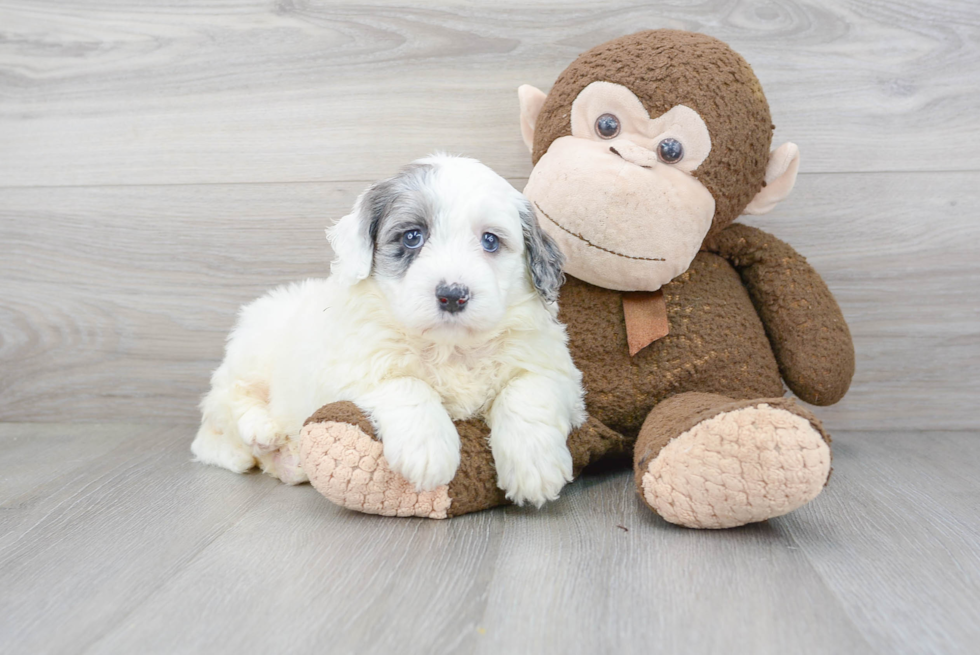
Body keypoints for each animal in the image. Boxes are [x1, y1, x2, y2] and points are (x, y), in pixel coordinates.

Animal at [195, 154, 584, 508]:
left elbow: (527, 391)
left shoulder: (557, 372)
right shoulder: (352, 365)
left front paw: (534, 466)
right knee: (225, 404)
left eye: (490, 241)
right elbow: (406, 384)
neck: (449, 347)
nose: (452, 295)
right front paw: (429, 451)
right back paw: (261, 429)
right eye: (412, 236)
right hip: (254, 350)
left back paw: (289, 462)